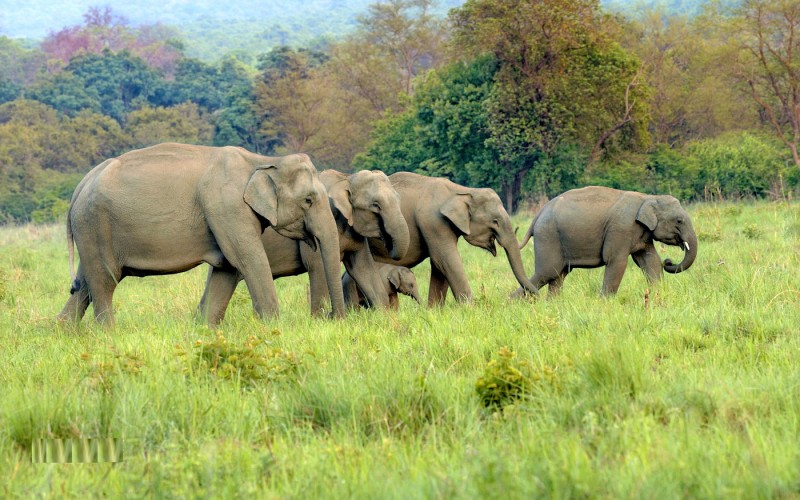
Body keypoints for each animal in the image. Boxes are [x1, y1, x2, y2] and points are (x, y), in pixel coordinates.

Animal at [56, 143, 344, 326]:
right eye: (308, 200)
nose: (335, 319)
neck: (261, 161)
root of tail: (82, 183)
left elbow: (227, 269)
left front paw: (204, 328)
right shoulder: (227, 208)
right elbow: (247, 260)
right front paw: (274, 328)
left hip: (91, 230)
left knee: (86, 281)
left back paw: (62, 330)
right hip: (95, 224)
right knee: (105, 280)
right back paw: (108, 333)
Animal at [197, 168, 410, 324]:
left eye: (400, 199)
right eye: (375, 206)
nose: (334, 316)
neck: (346, 178)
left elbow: (363, 269)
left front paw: (384, 319)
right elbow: (318, 267)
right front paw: (320, 322)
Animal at [366, 172, 540, 304]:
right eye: (495, 221)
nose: (537, 299)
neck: (461, 191)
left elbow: (439, 265)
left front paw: (434, 311)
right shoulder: (433, 223)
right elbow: (445, 260)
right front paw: (470, 309)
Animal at [516, 187, 696, 296]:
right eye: (679, 221)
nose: (669, 261)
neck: (648, 197)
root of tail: (537, 215)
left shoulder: (642, 234)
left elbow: (650, 260)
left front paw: (658, 293)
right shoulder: (621, 229)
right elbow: (617, 261)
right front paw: (605, 301)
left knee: (558, 275)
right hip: (548, 236)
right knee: (547, 272)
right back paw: (513, 303)